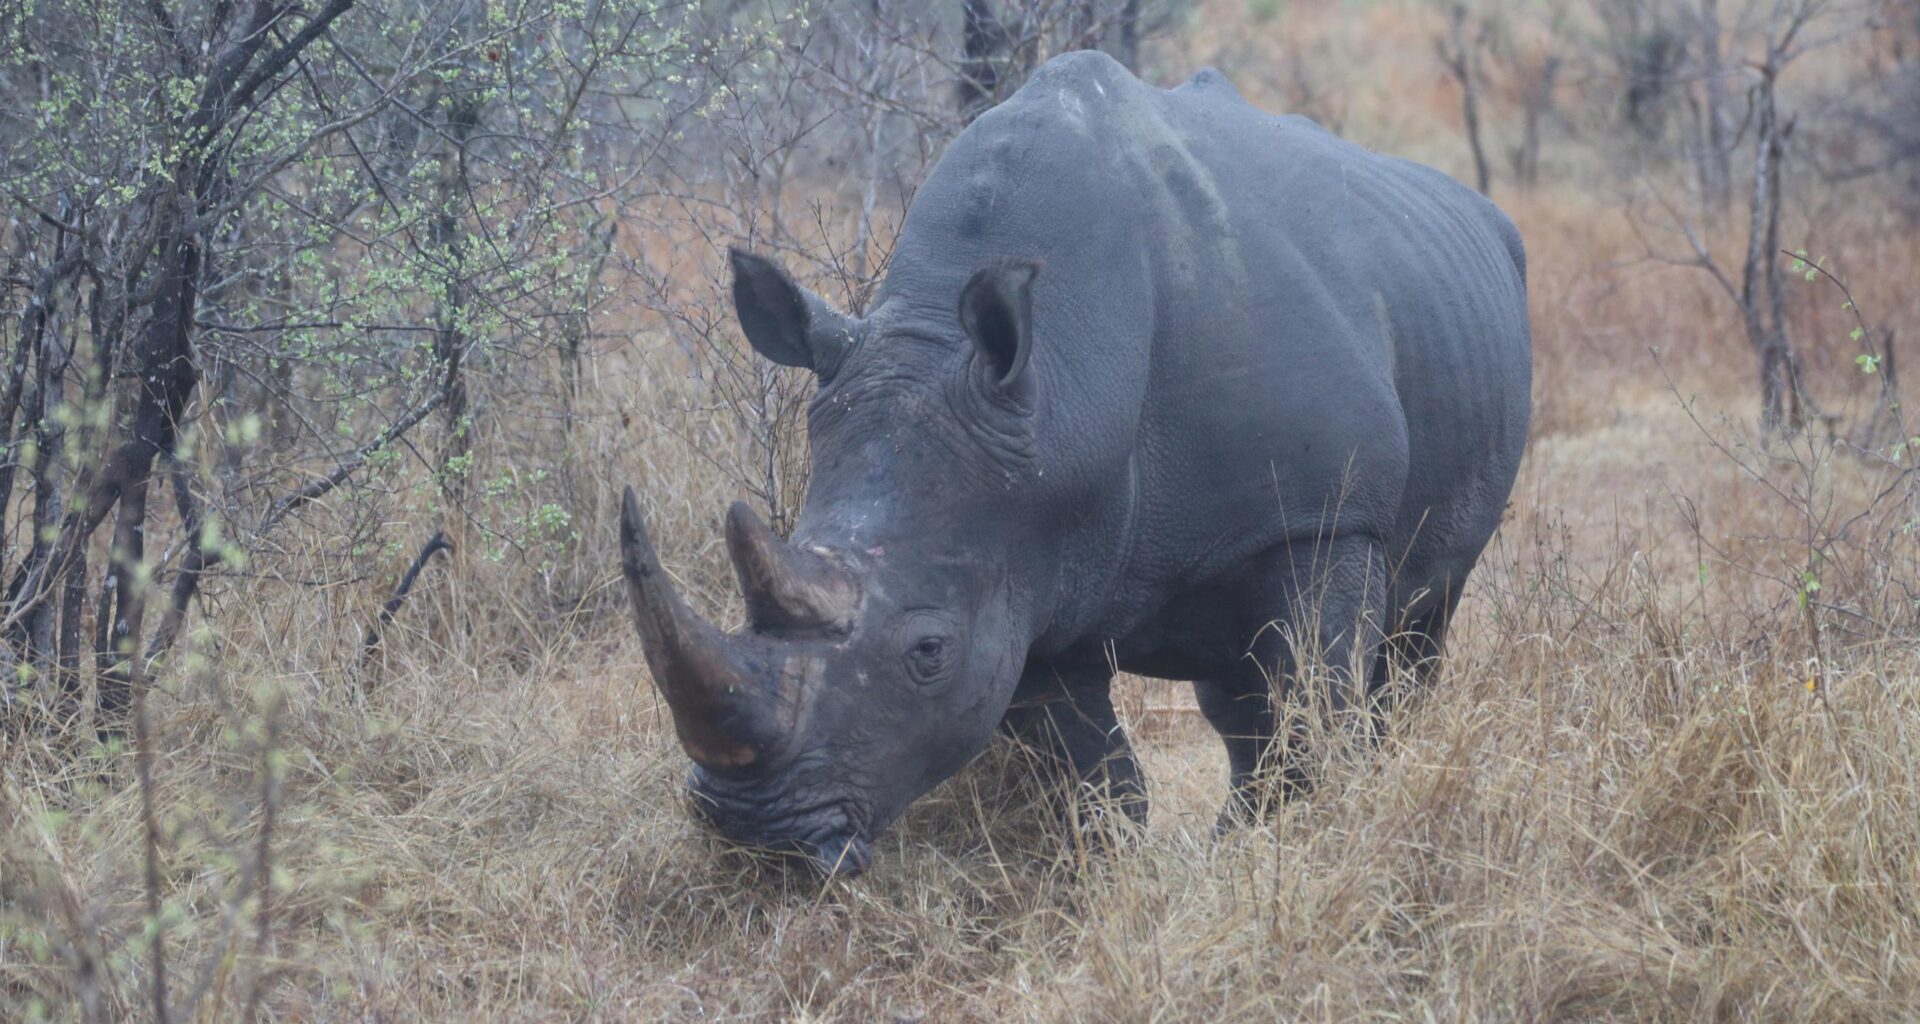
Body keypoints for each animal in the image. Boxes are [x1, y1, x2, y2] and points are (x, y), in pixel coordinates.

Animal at [619, 52, 1531, 875]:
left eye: (928, 651)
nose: (753, 835)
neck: (1061, 391)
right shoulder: (1021, 559)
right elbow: (1095, 782)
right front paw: (1123, 878)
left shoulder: (1324, 516)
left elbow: (1314, 709)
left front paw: (1291, 852)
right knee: (1236, 693)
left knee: (1413, 633)